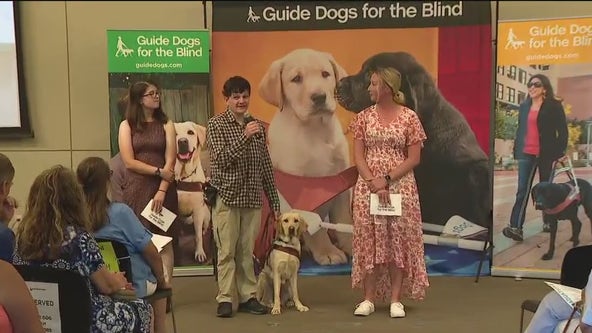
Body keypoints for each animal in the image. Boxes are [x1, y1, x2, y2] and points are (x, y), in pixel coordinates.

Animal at [173, 120, 210, 262]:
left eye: (190, 132)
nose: (182, 141)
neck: (184, 176)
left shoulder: (198, 210)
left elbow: (198, 236)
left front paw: (199, 252)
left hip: (206, 214)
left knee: (204, 227)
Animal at [260, 47, 352, 264]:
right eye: (296, 79)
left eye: (325, 74)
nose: (319, 97)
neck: (316, 129)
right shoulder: (299, 189)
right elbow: (314, 228)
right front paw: (327, 251)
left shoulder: (341, 183)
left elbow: (344, 219)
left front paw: (353, 246)